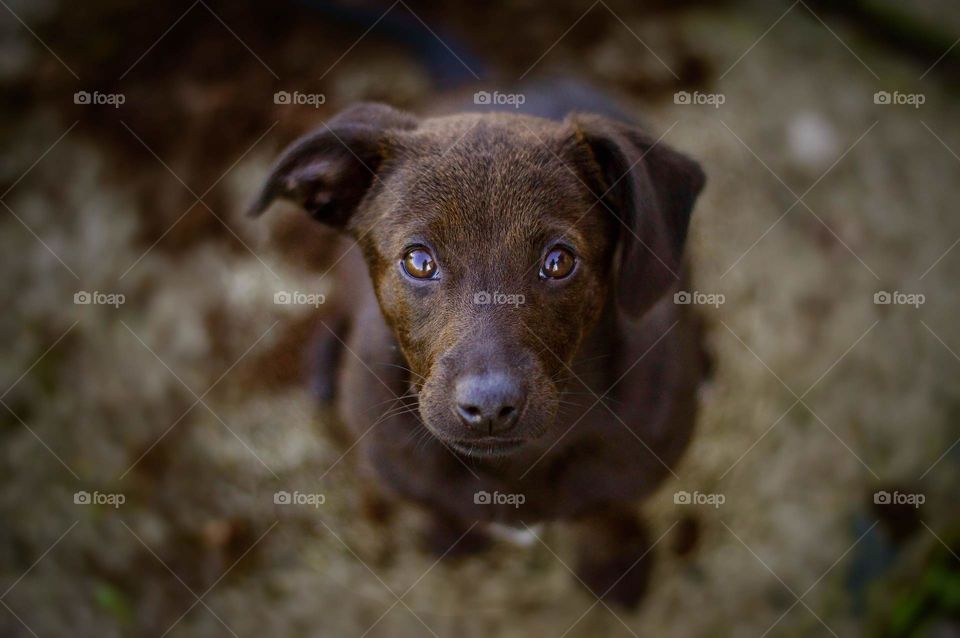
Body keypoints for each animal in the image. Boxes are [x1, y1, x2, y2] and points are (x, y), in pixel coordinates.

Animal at [251, 86, 708, 608]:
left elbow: (607, 512)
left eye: (559, 261)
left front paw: (614, 564)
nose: (490, 407)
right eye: (419, 261)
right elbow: (439, 506)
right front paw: (452, 537)